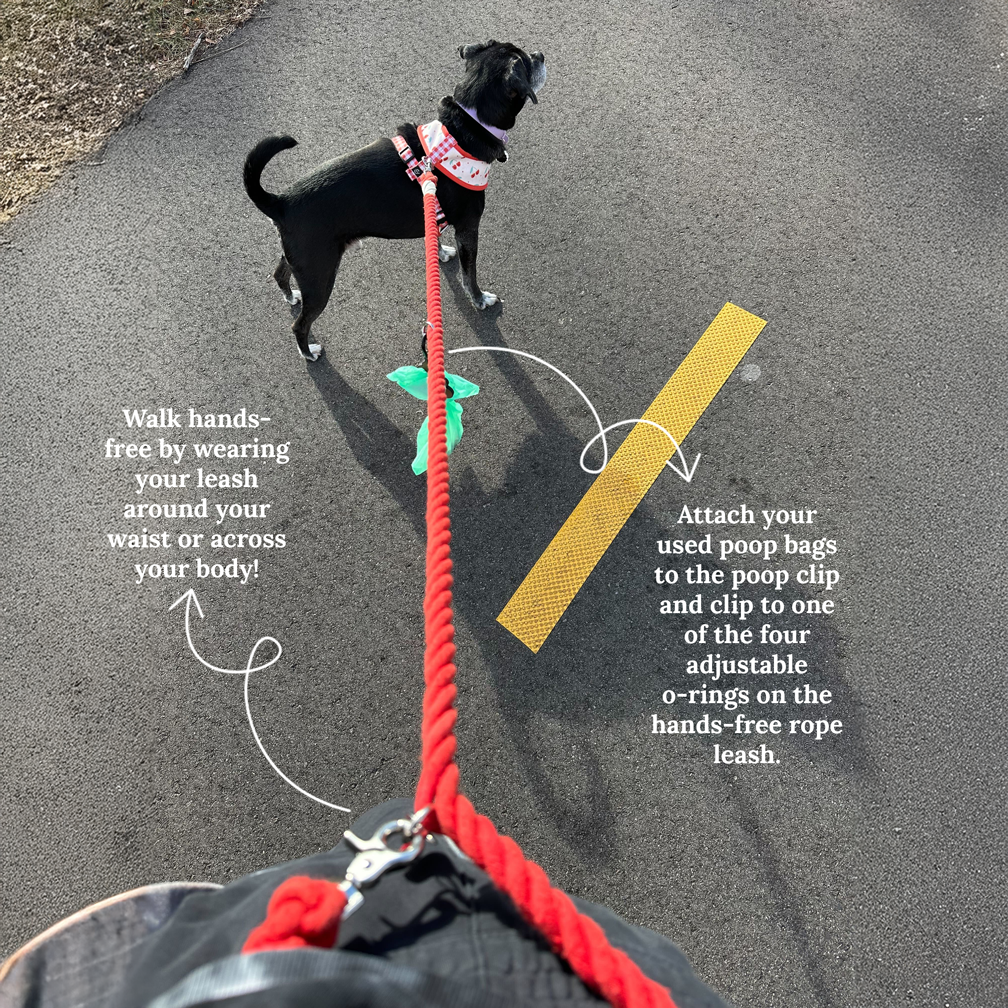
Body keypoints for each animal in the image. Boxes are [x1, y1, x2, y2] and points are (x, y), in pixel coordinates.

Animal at [243, 40, 548, 362]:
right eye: (526, 62)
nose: (541, 55)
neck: (462, 129)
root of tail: (282, 201)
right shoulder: (469, 228)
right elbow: (470, 275)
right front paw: (480, 299)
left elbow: (436, 235)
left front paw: (440, 253)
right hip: (319, 275)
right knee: (299, 325)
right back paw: (308, 352)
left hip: (301, 259)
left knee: (279, 273)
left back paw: (290, 296)